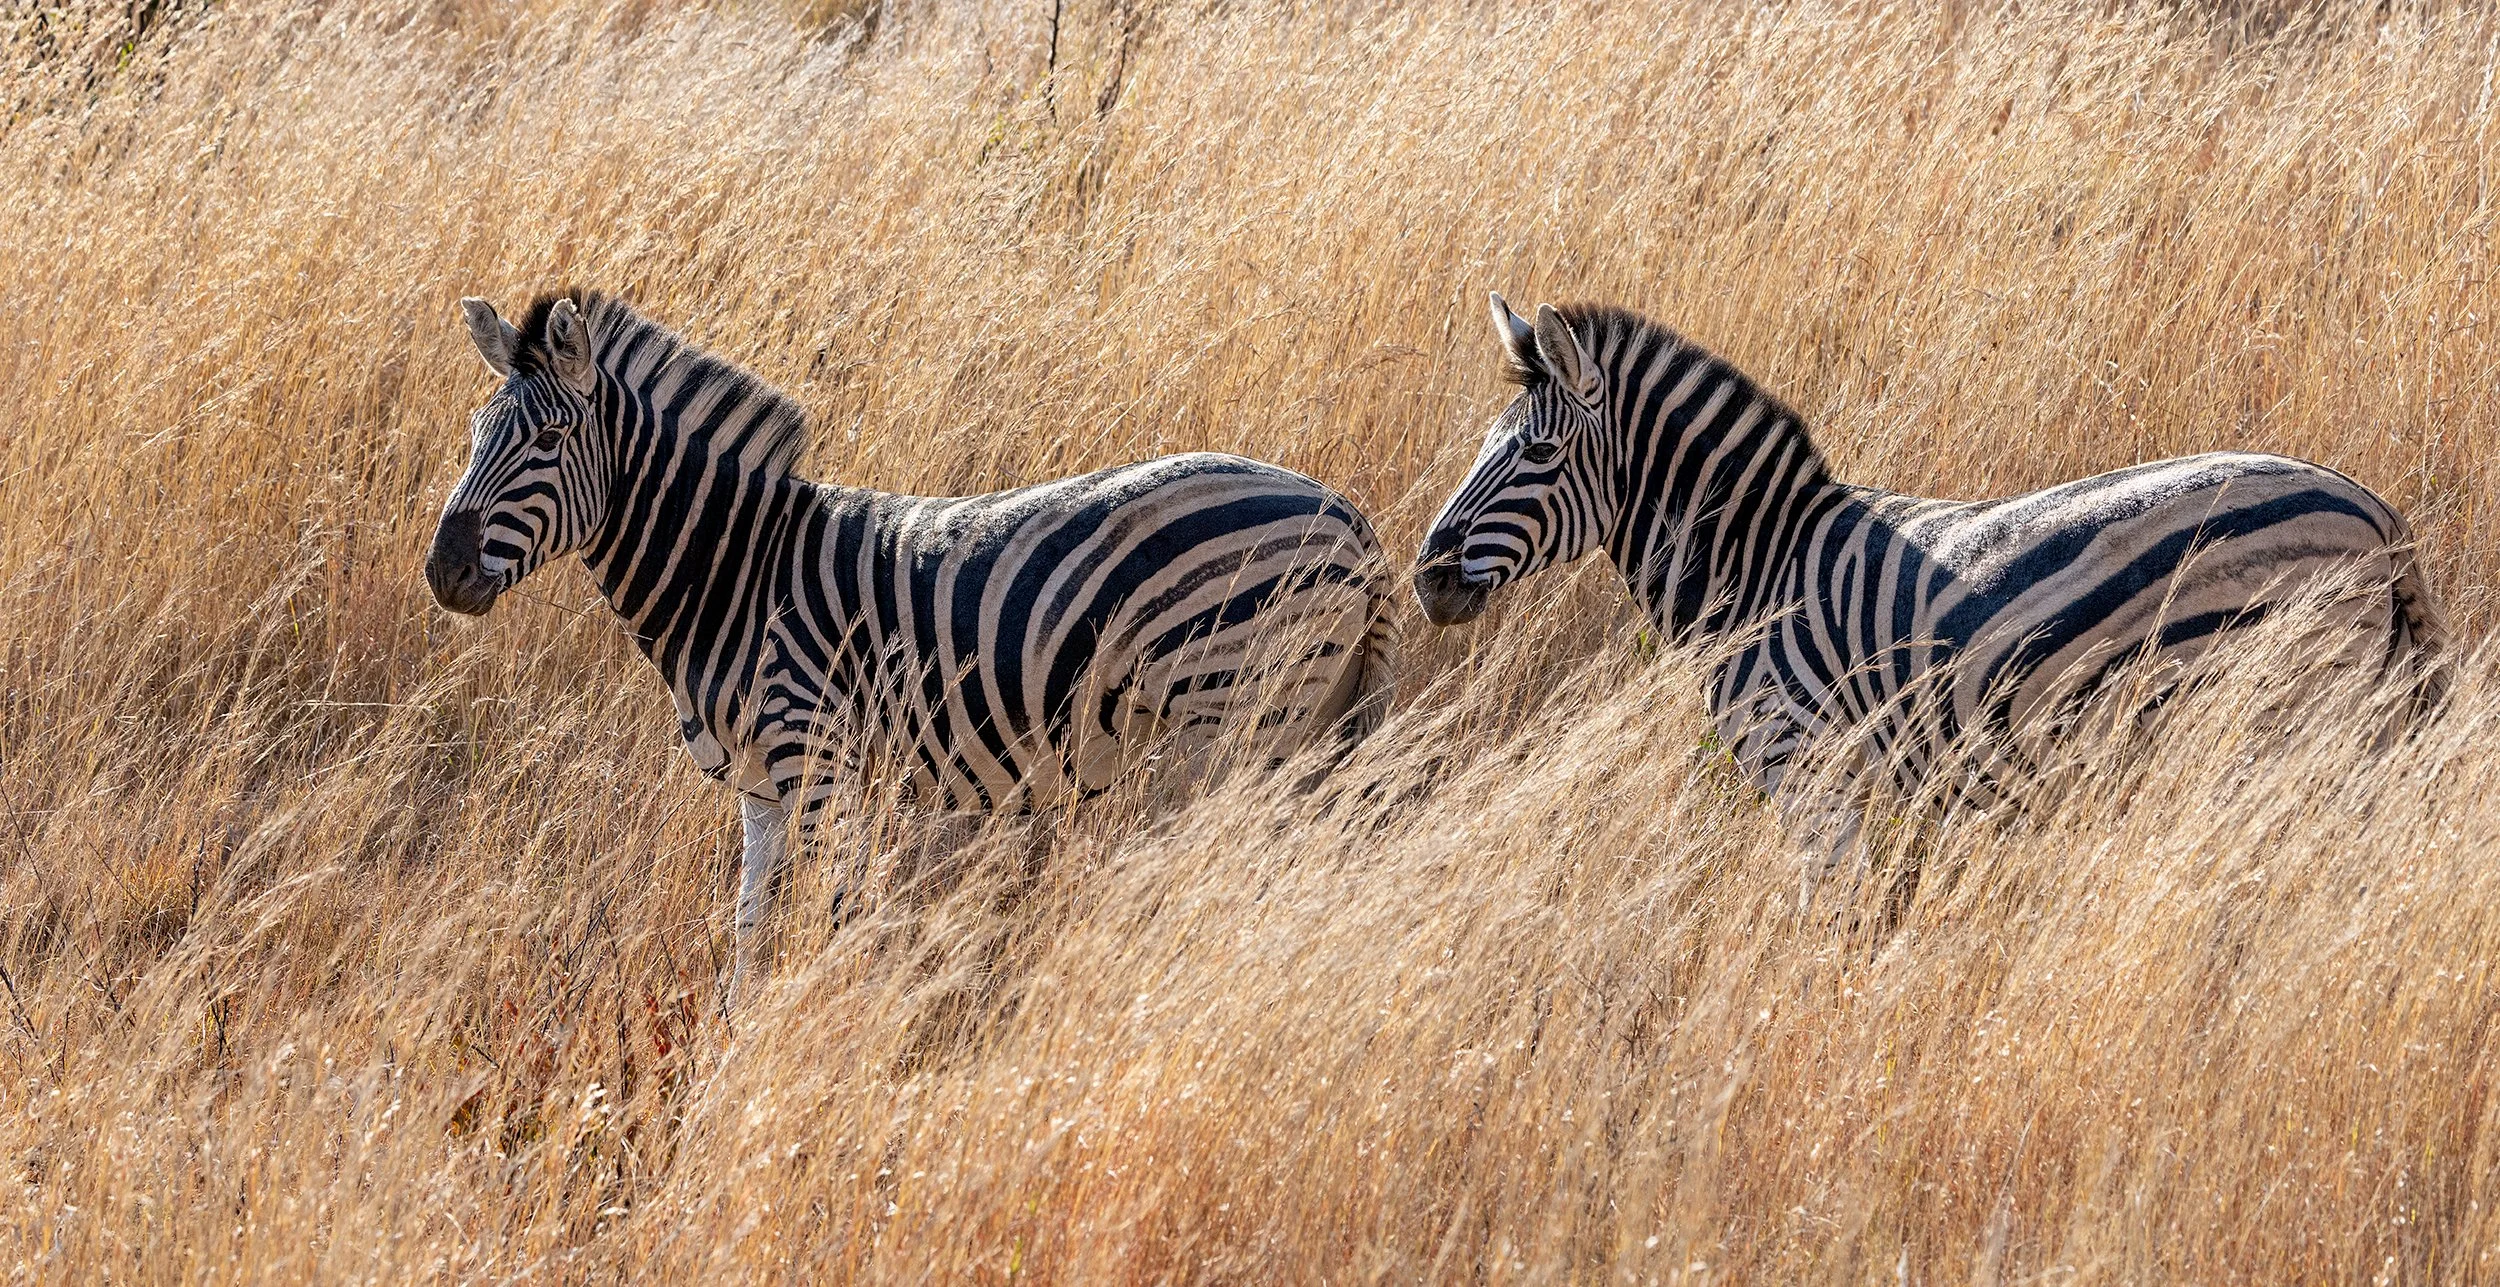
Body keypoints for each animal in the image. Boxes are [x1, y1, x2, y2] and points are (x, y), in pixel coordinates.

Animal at [426, 290, 1396, 1000]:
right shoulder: (760, 789)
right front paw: (733, 1059)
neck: (733, 573)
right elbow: (750, 937)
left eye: (551, 440)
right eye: (473, 434)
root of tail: (1348, 515)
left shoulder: (819, 756)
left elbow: (840, 918)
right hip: (1300, 722)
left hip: (1242, 718)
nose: (443, 571)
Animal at [1414, 294, 2448, 883]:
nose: (1427, 577)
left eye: (1538, 455)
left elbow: (1835, 923)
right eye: (1486, 445)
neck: (1754, 573)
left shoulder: (1804, 770)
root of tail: (2372, 509)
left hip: (2283, 721)